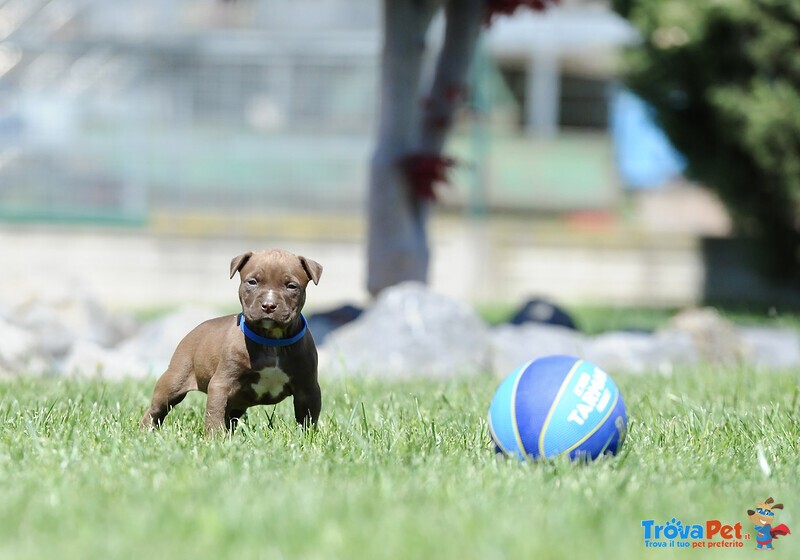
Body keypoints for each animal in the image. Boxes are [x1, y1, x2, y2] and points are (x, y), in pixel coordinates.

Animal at [141, 247, 322, 436]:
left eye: (291, 286)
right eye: (252, 282)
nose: (268, 305)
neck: (271, 340)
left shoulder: (308, 389)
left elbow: (308, 418)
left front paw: (307, 436)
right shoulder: (221, 384)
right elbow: (215, 413)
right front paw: (215, 438)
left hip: (237, 403)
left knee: (230, 417)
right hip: (174, 381)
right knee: (157, 408)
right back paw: (146, 430)